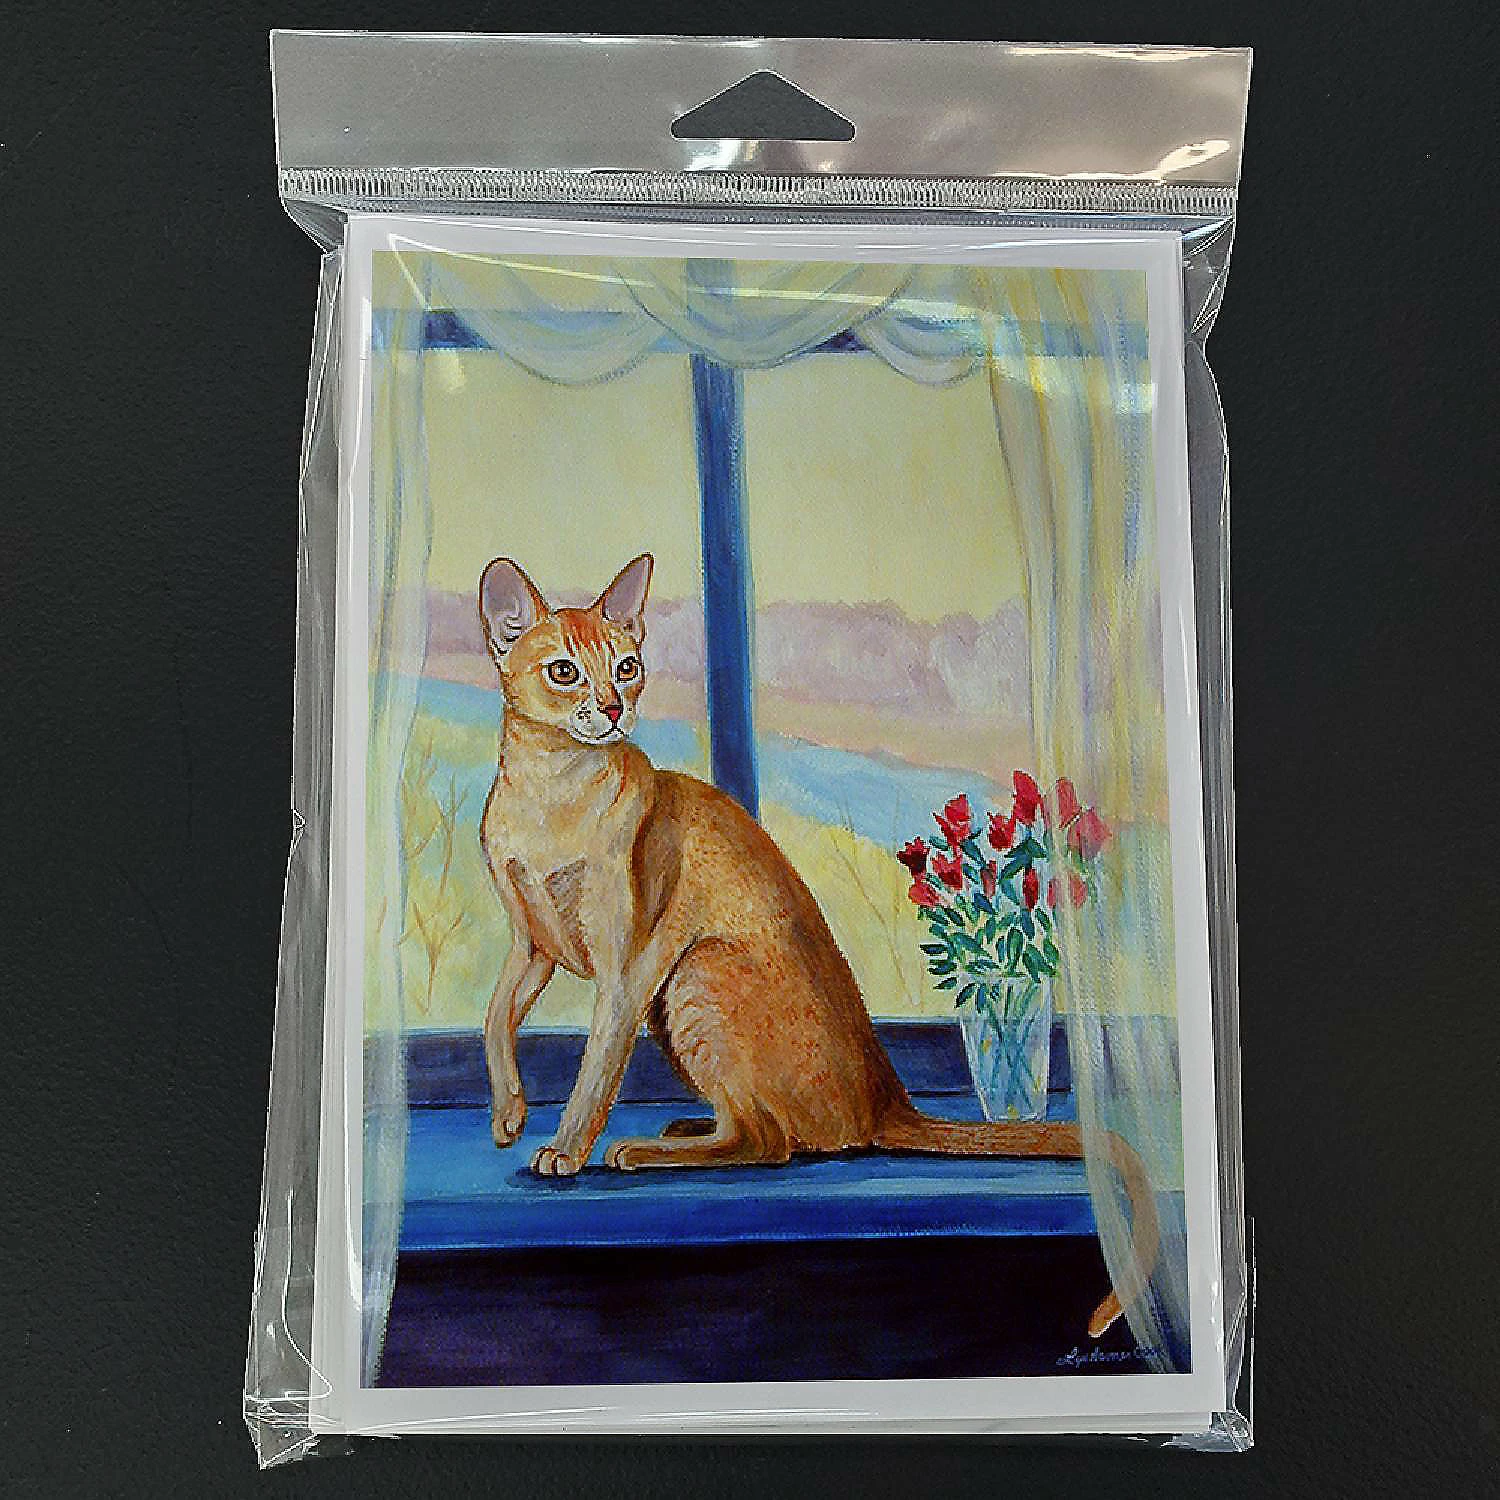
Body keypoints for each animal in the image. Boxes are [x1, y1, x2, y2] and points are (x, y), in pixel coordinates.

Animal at [476, 552, 1158, 1338]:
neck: (549, 795)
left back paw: (644, 1148)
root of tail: (884, 1099)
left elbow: (593, 1072)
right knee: (763, 1127)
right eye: (564, 672)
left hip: (695, 973)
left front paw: (564, 1148)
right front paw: (508, 1114)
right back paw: (684, 1125)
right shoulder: (532, 947)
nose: (615, 708)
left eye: (626, 667)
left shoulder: (626, 968)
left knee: (768, 1143)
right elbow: (495, 1019)